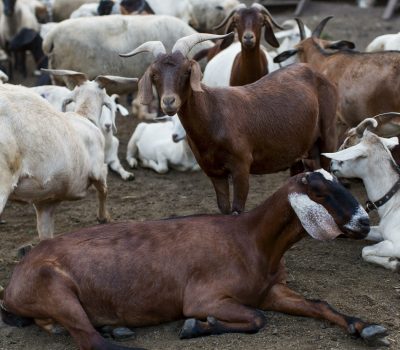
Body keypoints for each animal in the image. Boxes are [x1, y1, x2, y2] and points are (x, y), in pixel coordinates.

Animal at [0, 71, 138, 241]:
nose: (107, 126)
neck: (84, 116)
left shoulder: (45, 200)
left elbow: (46, 236)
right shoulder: (98, 170)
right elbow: (104, 190)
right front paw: (104, 218)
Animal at [119, 33, 338, 213]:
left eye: (186, 71)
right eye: (155, 74)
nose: (168, 101)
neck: (214, 116)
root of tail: (314, 71)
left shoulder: (241, 167)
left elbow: (237, 210)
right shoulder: (213, 172)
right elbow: (223, 209)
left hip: (328, 135)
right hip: (301, 149)